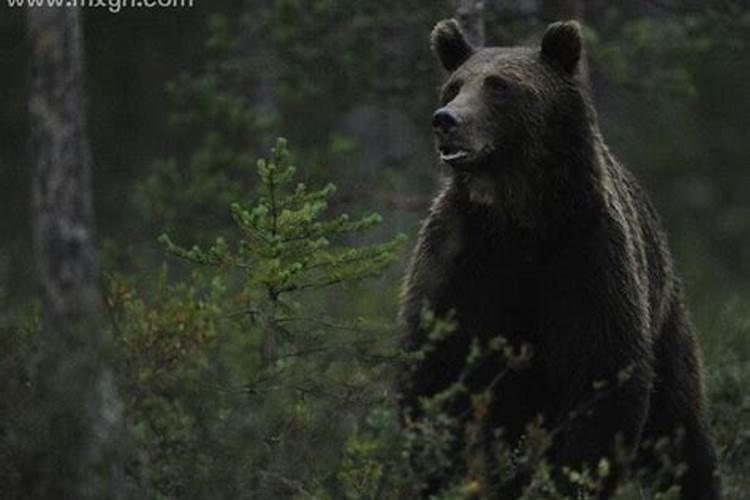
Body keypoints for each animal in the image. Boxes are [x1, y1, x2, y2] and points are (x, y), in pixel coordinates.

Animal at [400, 17, 724, 498]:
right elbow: (437, 366)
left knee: (681, 432)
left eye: (499, 86)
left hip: (668, 325)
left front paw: (568, 478)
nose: (446, 121)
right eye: (454, 86)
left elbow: (602, 378)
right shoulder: (462, 261)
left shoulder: (584, 257)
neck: (517, 217)